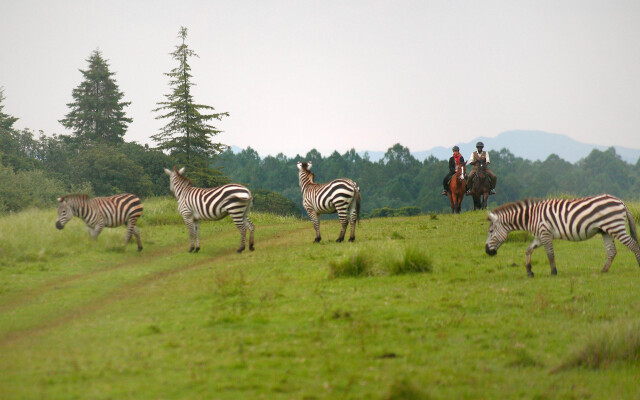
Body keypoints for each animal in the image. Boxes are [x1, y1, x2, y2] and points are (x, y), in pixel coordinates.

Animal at [484, 193, 640, 276]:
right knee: (612, 251)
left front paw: (553, 272)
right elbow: (528, 250)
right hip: (606, 230)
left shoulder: (545, 233)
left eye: (490, 232)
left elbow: (550, 254)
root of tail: (620, 201)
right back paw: (603, 270)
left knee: (633, 245)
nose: (487, 251)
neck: (531, 217)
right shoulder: (539, 236)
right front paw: (529, 272)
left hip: (615, 226)